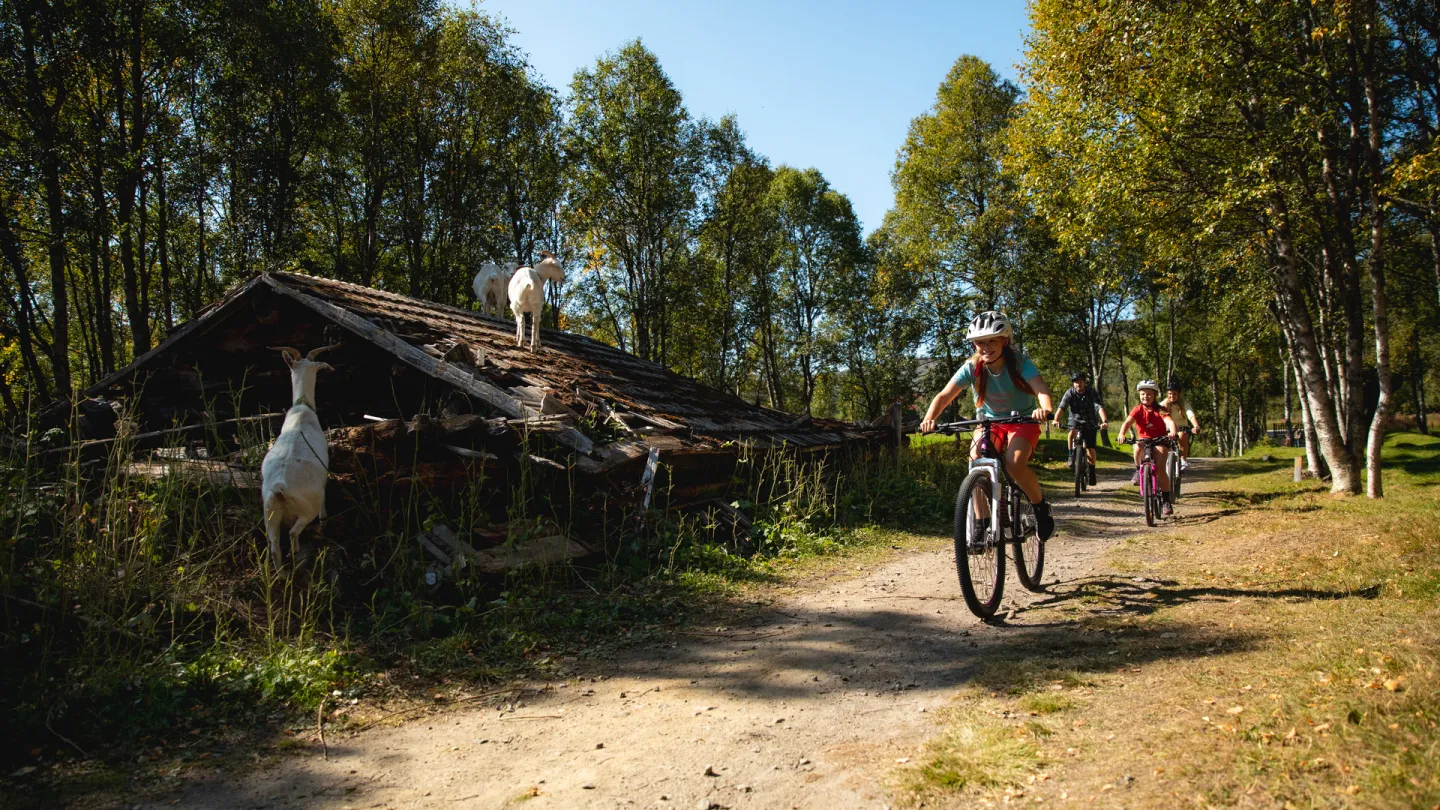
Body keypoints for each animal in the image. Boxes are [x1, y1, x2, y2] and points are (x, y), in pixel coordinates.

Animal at [259, 341, 336, 567]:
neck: (302, 407)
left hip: (270, 515)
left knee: (274, 548)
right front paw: (324, 518)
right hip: (305, 508)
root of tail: (280, 488)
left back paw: (282, 572)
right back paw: (295, 552)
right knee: (294, 532)